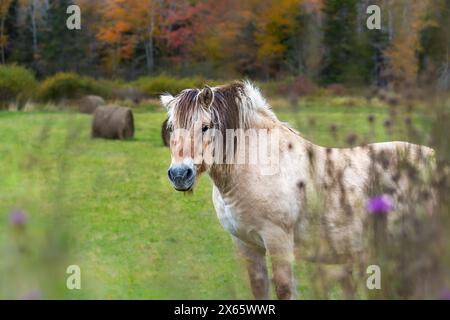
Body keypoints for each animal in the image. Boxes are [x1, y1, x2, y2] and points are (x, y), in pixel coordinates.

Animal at [160, 80, 434, 300]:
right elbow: (259, 289)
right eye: (171, 128)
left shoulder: (278, 240)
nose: (180, 174)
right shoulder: (246, 244)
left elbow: (284, 289)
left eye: (205, 126)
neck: (258, 165)